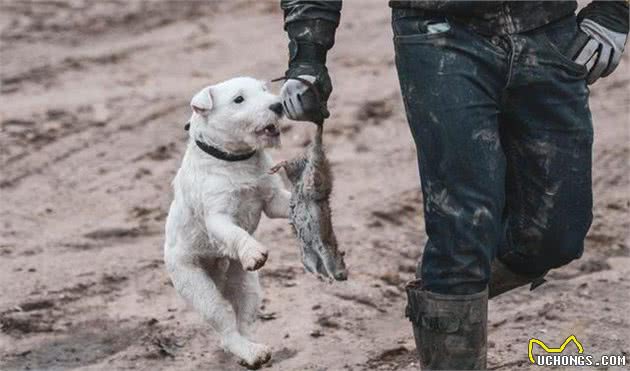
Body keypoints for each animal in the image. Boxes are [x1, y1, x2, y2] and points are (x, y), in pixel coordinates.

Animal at [163, 77, 292, 368]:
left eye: (264, 89)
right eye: (239, 99)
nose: (278, 105)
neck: (235, 159)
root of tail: (217, 270)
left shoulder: (272, 199)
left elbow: (289, 201)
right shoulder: (217, 217)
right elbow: (235, 233)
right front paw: (254, 252)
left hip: (247, 285)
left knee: (243, 321)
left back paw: (254, 350)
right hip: (197, 286)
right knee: (226, 326)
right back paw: (250, 353)